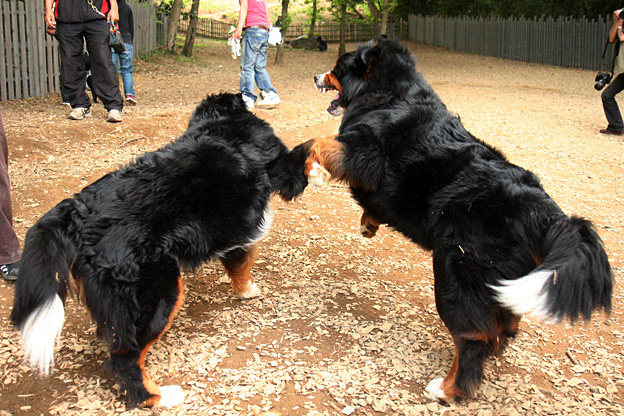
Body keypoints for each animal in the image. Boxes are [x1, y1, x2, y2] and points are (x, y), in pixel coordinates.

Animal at [10, 92, 322, 408]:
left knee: (115, 336)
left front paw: (246, 290)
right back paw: (159, 397)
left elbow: (239, 263)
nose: (252, 92)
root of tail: (76, 210)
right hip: (159, 291)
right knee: (126, 360)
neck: (220, 123)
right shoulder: (276, 172)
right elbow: (306, 150)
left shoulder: (231, 228)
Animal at [304, 38, 612, 400]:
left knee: (473, 335)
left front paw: (315, 173)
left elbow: (319, 143)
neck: (389, 93)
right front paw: (369, 223)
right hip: (497, 283)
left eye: (337, 68)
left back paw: (448, 389)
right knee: (502, 327)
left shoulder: (365, 150)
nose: (315, 76)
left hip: (456, 271)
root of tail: (544, 213)